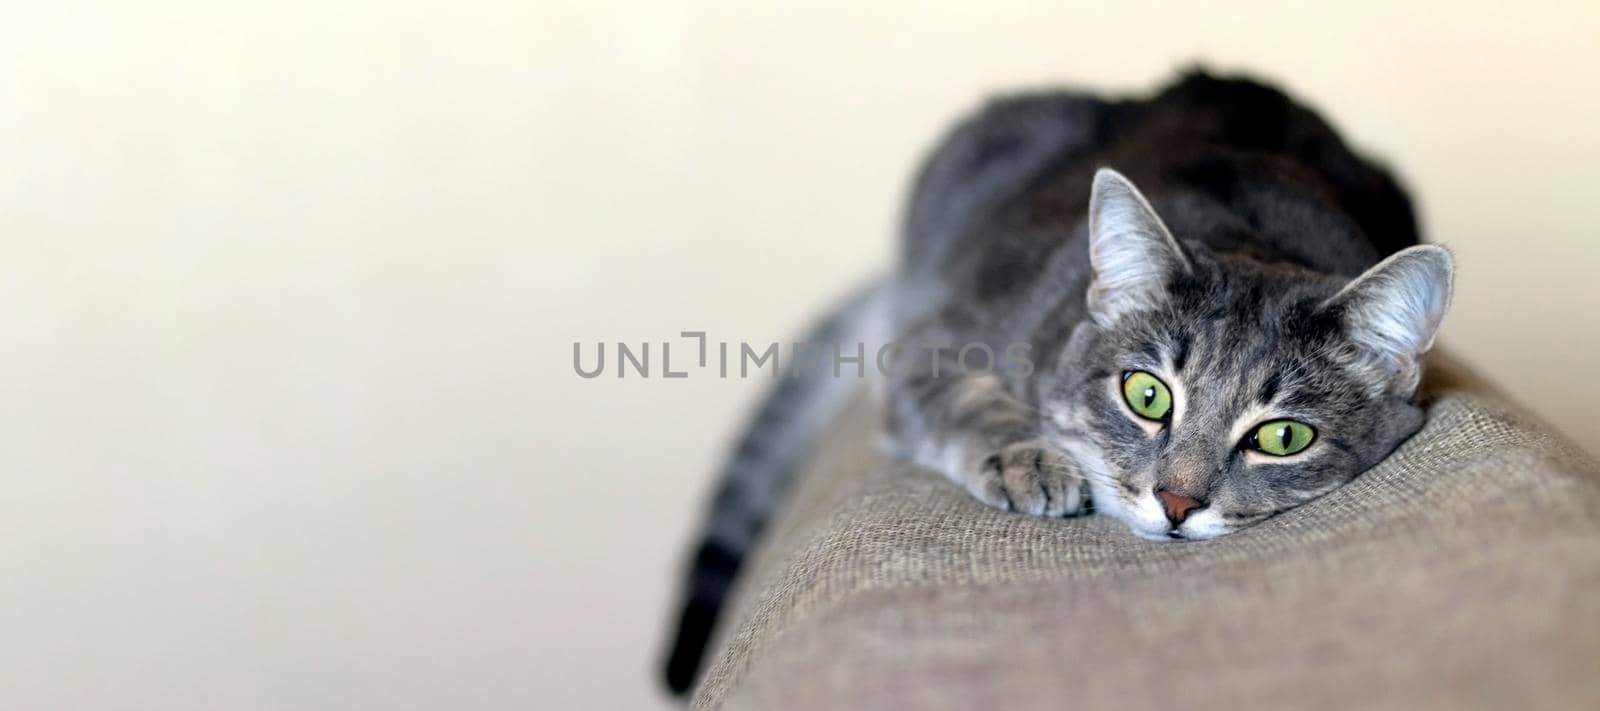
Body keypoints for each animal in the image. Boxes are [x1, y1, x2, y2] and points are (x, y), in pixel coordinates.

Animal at [662, 70, 1452, 694]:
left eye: (1284, 437)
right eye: (1147, 394)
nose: (1177, 502)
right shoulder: (931, 344)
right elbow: (968, 401)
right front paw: (1033, 463)